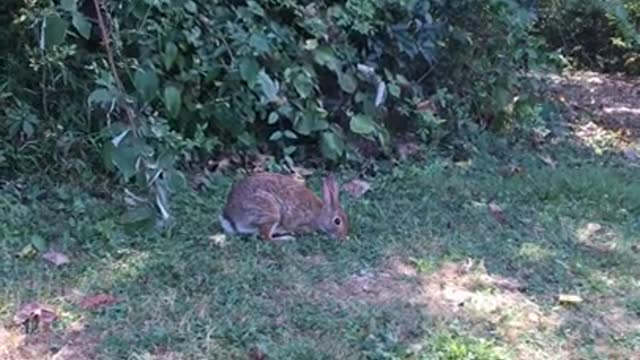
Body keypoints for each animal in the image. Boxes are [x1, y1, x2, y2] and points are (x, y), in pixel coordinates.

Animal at [220, 172, 350, 242]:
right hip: (270, 213)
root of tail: (230, 217)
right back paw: (287, 239)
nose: (342, 238)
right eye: (337, 221)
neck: (320, 214)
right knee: (266, 237)